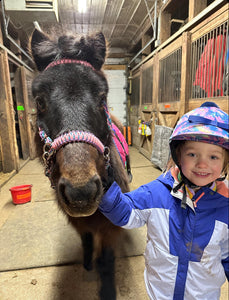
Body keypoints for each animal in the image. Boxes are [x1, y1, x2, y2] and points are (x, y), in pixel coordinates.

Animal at [30, 28, 131, 300]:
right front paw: (87, 264)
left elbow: (107, 260)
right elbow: (86, 239)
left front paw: (107, 291)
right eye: (39, 101)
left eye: (102, 97)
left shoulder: (109, 228)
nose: (81, 191)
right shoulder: (79, 221)